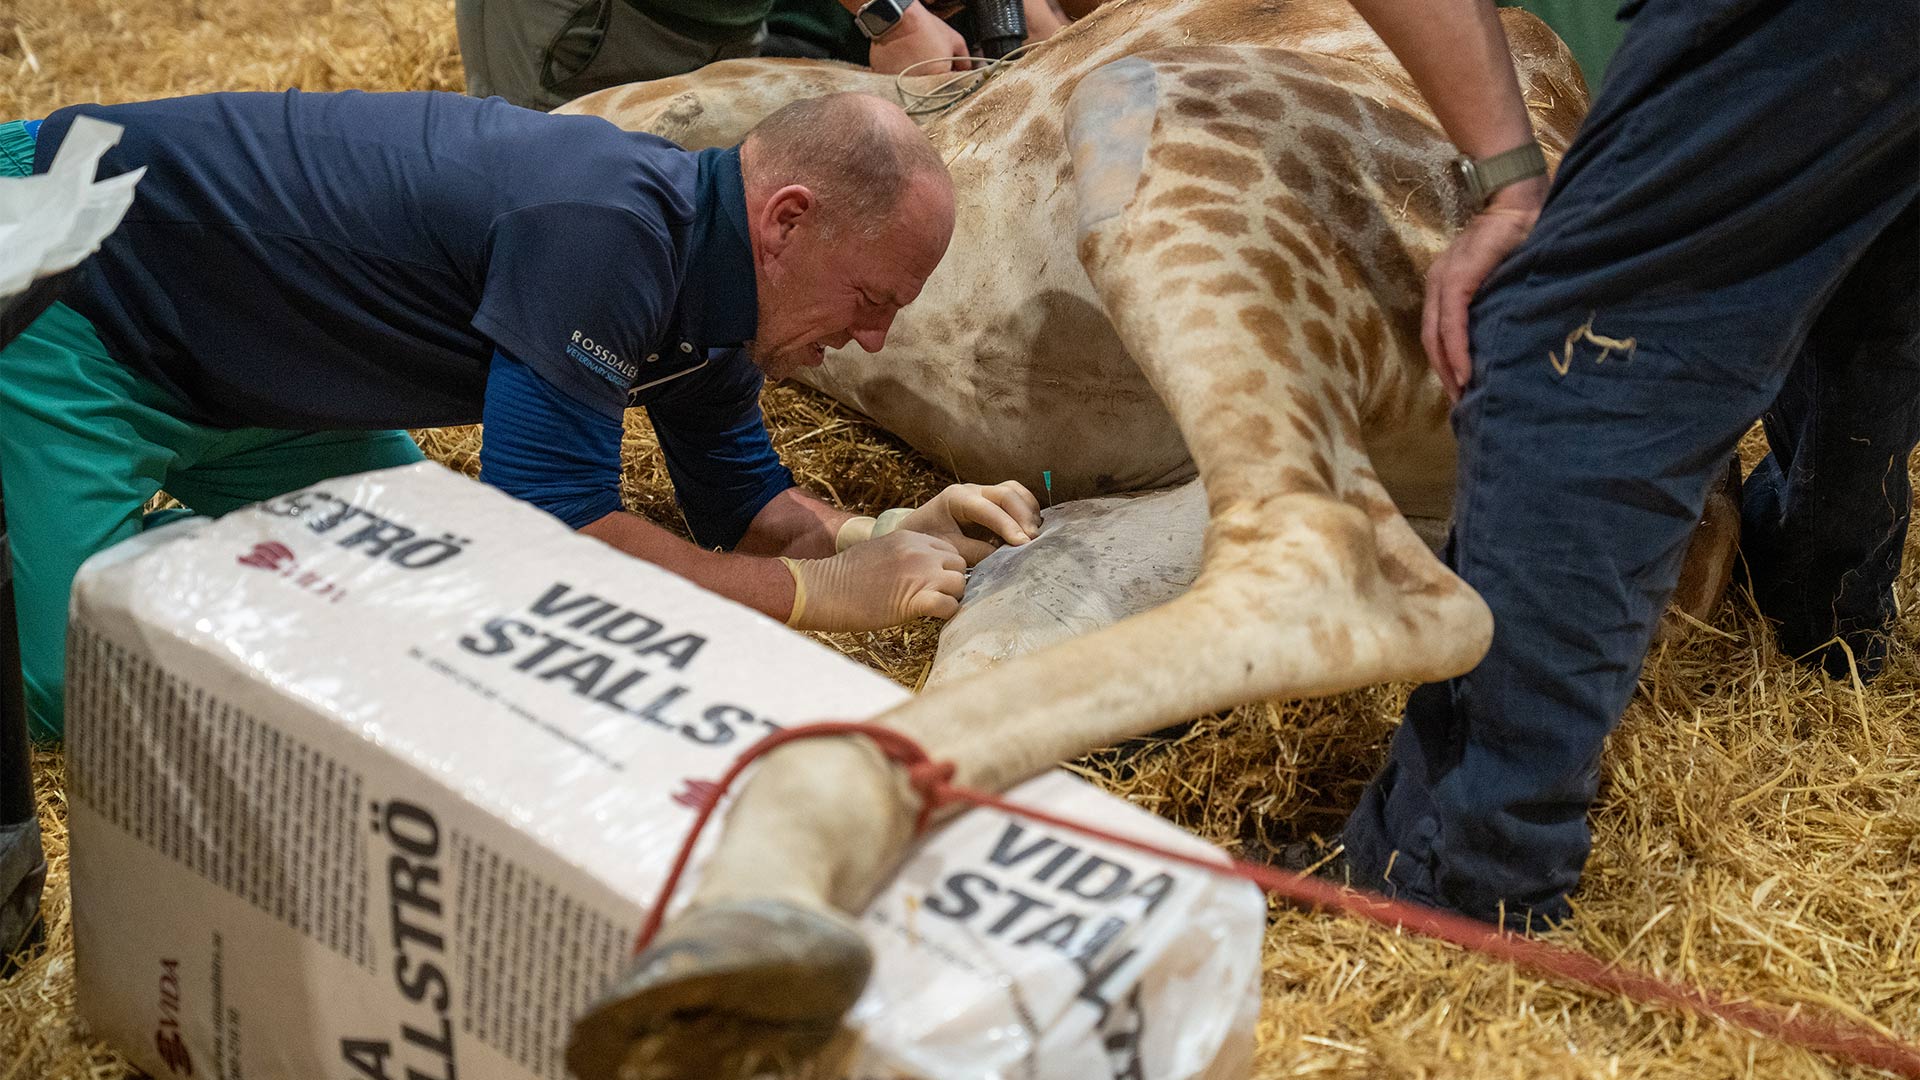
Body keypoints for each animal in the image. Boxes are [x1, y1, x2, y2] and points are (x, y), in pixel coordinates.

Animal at [553, 5, 1725, 1075]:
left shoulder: (696, 100)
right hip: (1288, 468)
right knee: (1031, 617)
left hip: (1157, 127)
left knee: (1337, 568)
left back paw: (747, 916)